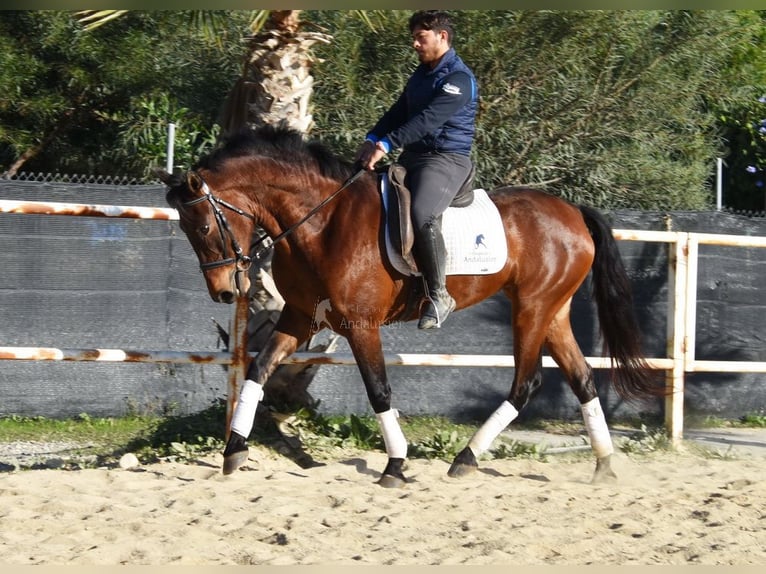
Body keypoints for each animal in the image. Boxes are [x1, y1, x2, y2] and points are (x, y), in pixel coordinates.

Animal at [160, 124, 664, 488]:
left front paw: (396, 466)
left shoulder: (360, 324)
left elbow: (379, 391)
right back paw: (604, 465)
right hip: (552, 312)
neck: (322, 220)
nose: (225, 292)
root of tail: (573, 212)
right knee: (582, 380)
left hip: (532, 309)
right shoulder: (299, 317)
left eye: (203, 227)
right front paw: (234, 451)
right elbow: (258, 371)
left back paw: (465, 458)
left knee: (527, 382)